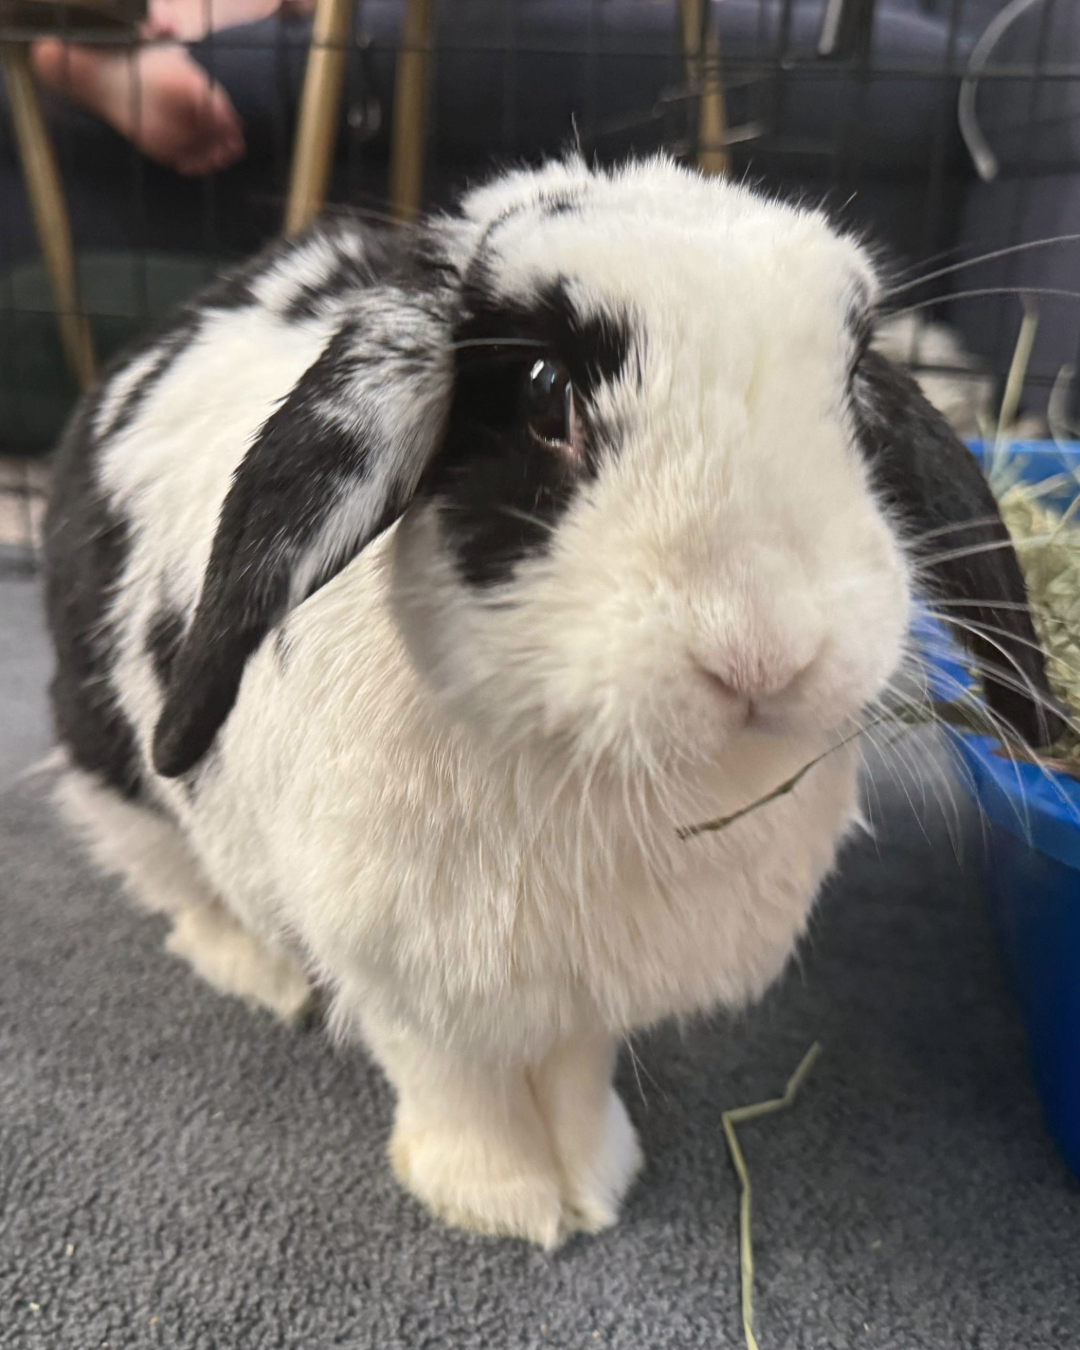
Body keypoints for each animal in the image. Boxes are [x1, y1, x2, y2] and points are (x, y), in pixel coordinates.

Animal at [43, 157, 1062, 1247]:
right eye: (542, 389)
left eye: (852, 385)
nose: (765, 653)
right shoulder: (407, 979)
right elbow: (454, 1082)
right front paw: (501, 1203)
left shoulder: (587, 990)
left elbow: (575, 1074)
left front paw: (596, 1180)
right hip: (122, 770)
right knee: (174, 880)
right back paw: (261, 974)